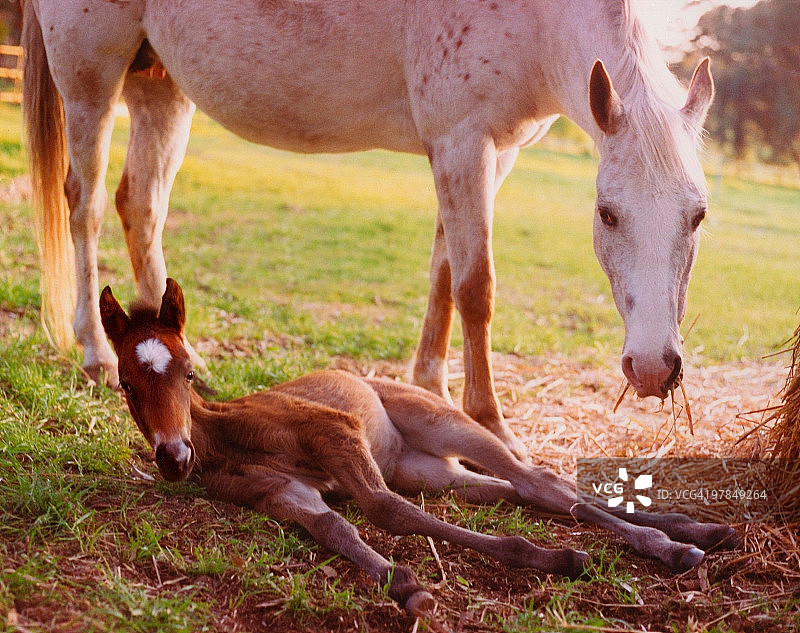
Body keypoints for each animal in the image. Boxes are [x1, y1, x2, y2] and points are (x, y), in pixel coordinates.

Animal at [22, 0, 714, 457]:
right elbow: (476, 288)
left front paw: (431, 388)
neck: (539, 20)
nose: (654, 369)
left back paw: (175, 350)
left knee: (141, 205)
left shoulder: (486, 155)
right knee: (83, 204)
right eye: (607, 213)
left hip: (158, 85)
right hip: (90, 78)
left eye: (699, 214)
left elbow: (444, 274)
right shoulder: (463, 142)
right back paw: (96, 353)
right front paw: (490, 422)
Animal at [99, 278, 737, 616]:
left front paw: (559, 560)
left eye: (187, 371)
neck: (228, 438)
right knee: (515, 491)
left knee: (538, 482)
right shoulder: (280, 494)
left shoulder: (335, 431)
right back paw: (694, 532)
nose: (174, 457)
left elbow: (386, 510)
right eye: (124, 383)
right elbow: (334, 526)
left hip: (444, 424)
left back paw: (678, 543)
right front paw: (402, 584)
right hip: (426, 469)